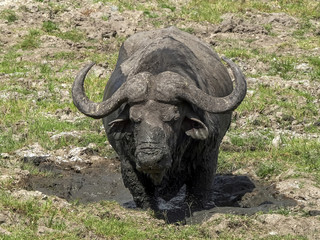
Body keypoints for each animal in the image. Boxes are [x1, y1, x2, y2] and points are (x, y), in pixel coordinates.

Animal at [73, 26, 248, 209]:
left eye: (174, 118)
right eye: (134, 119)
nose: (150, 159)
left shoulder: (207, 159)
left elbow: (198, 194)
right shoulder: (128, 163)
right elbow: (142, 194)